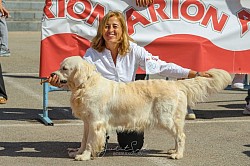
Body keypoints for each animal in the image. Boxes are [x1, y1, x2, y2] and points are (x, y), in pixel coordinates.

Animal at [51, 55, 232, 161]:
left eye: (64, 68)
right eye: (60, 67)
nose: (52, 75)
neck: (85, 85)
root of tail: (176, 84)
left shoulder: (96, 122)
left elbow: (90, 141)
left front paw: (85, 156)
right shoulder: (87, 122)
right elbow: (83, 139)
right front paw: (77, 152)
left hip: (166, 118)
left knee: (181, 136)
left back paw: (178, 154)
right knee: (177, 136)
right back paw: (172, 150)